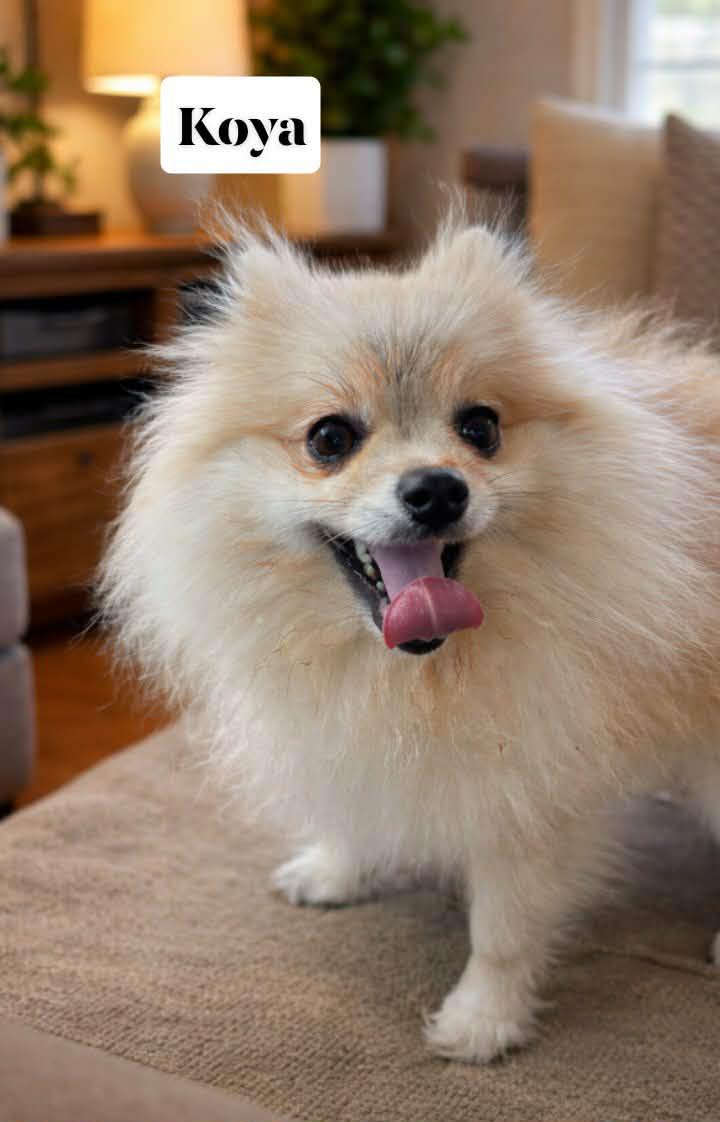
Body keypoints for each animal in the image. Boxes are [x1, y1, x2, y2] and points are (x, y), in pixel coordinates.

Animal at [99, 214, 720, 1062]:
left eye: (481, 427)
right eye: (330, 439)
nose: (435, 488)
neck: (413, 675)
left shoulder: (528, 783)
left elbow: (503, 926)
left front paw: (481, 1020)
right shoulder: (351, 735)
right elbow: (355, 808)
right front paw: (336, 872)